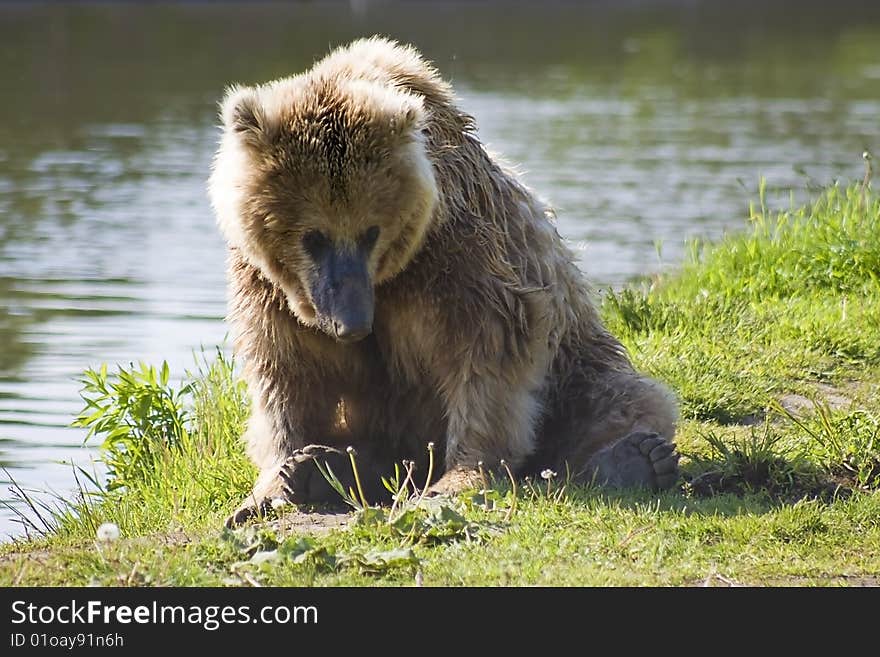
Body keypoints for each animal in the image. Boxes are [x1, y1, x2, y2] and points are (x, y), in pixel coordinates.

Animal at [211, 37, 680, 528]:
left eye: (371, 232)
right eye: (314, 236)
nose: (352, 324)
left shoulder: (457, 257)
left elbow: (488, 353)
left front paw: (459, 477)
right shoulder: (269, 288)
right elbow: (285, 371)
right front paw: (274, 480)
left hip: (575, 361)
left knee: (621, 399)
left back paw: (634, 458)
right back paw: (326, 467)